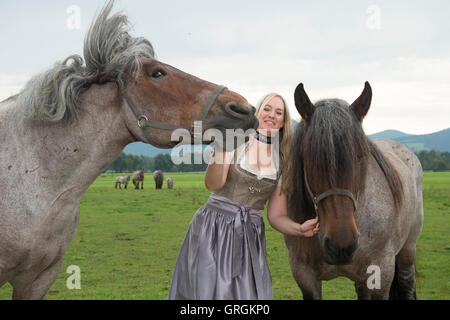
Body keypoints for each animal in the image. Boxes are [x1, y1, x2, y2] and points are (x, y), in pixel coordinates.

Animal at [284, 81, 426, 298]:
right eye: (309, 158)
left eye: (360, 156)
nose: (341, 245)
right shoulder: (304, 276)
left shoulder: (382, 273)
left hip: (407, 252)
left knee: (407, 283)